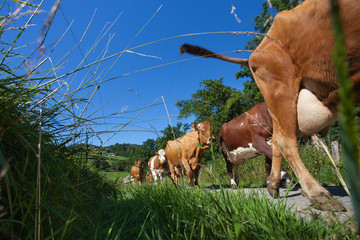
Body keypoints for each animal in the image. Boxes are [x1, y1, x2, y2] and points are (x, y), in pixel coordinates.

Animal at [180, 0, 360, 211]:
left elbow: (270, 159)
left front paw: (273, 182)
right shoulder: (258, 140)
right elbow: (275, 153)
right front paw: (283, 179)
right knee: (234, 165)